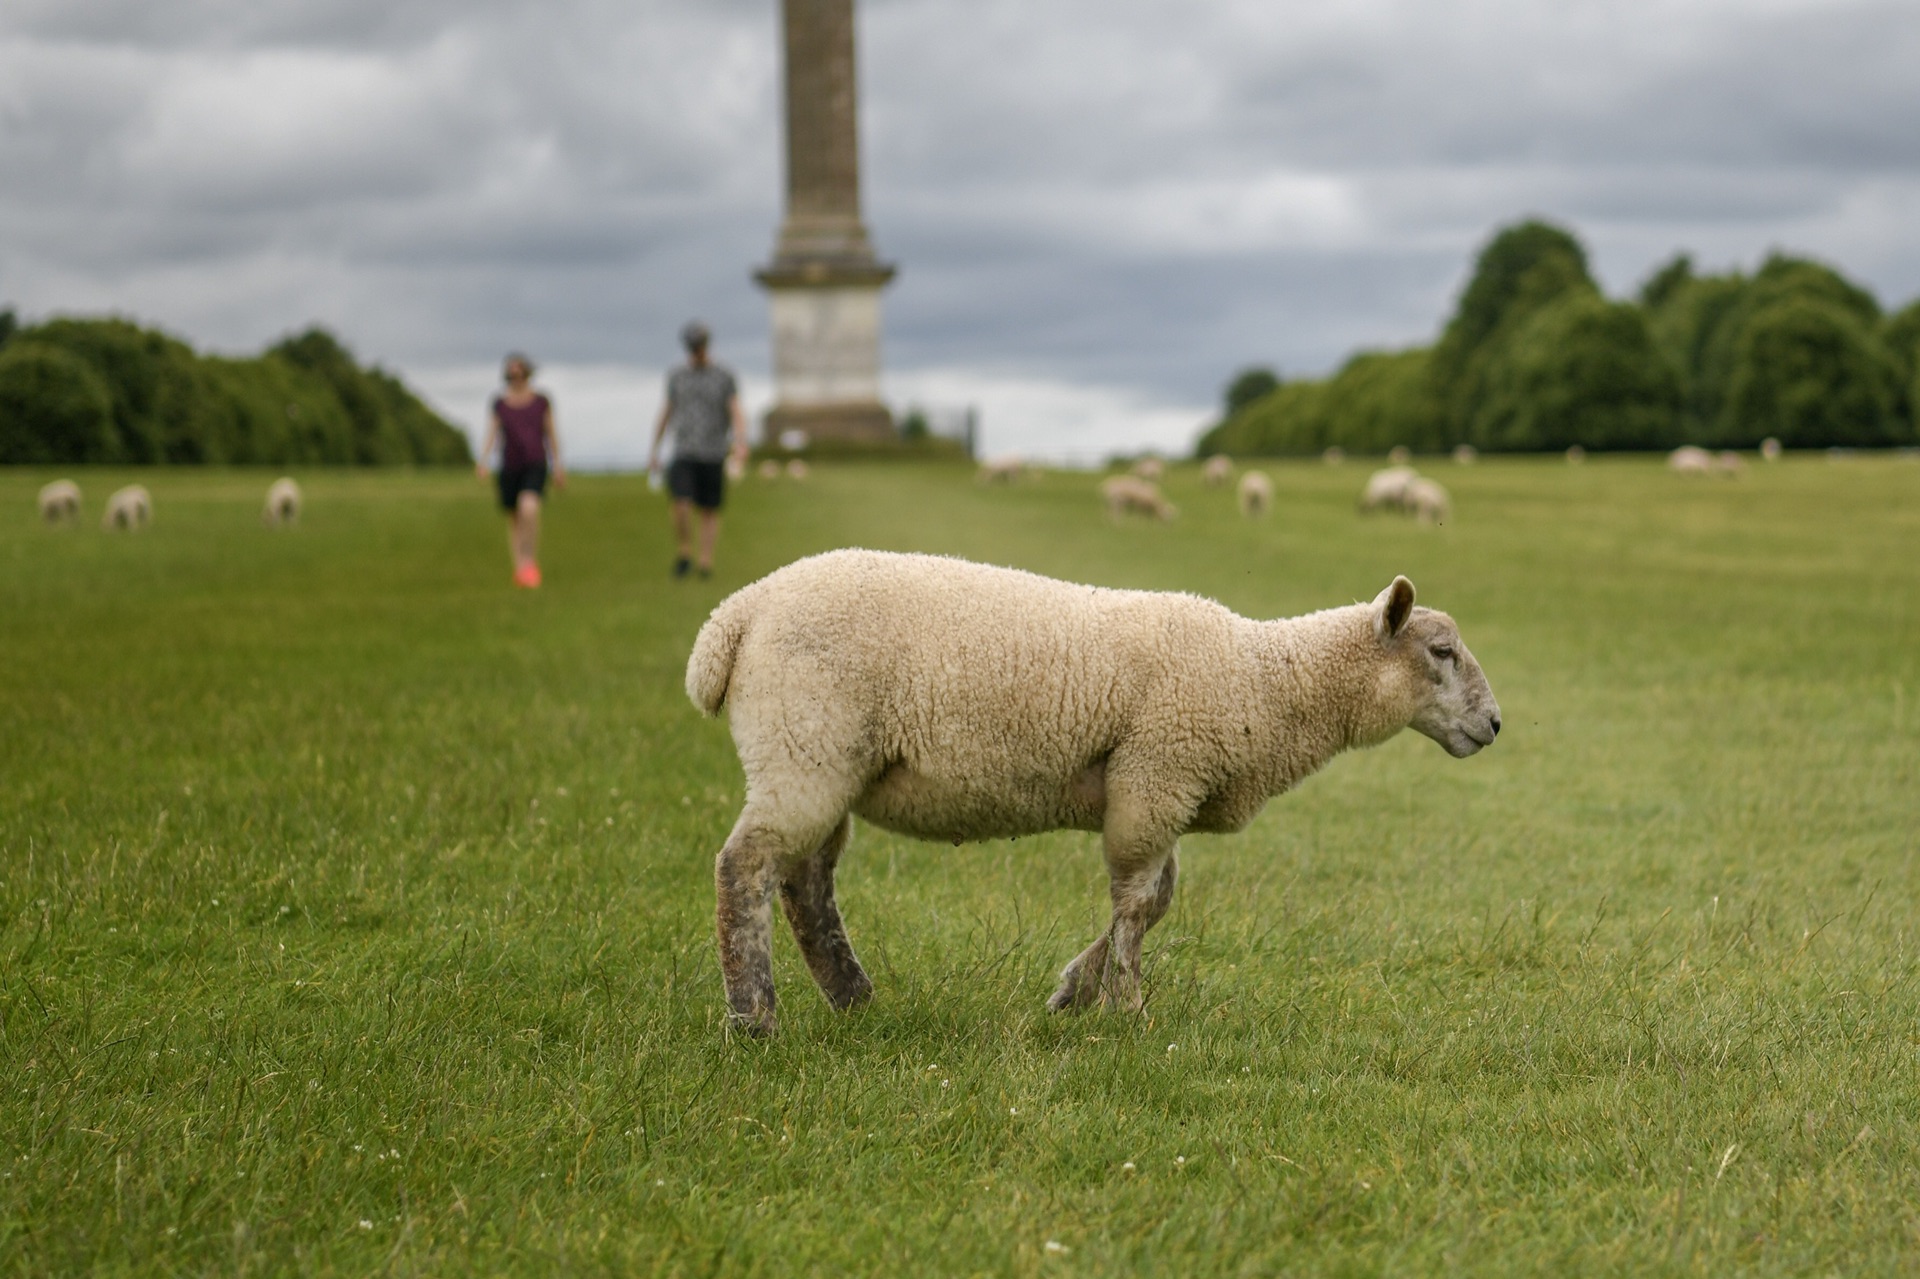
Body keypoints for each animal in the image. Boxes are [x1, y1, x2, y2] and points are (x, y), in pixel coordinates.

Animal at [687, 553, 1497, 1029]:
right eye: (1441, 652)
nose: (1493, 724)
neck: (1265, 681)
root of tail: (736, 615)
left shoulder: (1159, 791)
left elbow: (1158, 900)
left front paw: (1076, 989)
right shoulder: (1155, 776)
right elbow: (1137, 905)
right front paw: (1127, 1008)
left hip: (821, 761)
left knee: (806, 883)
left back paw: (852, 996)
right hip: (805, 747)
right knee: (745, 868)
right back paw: (754, 1019)